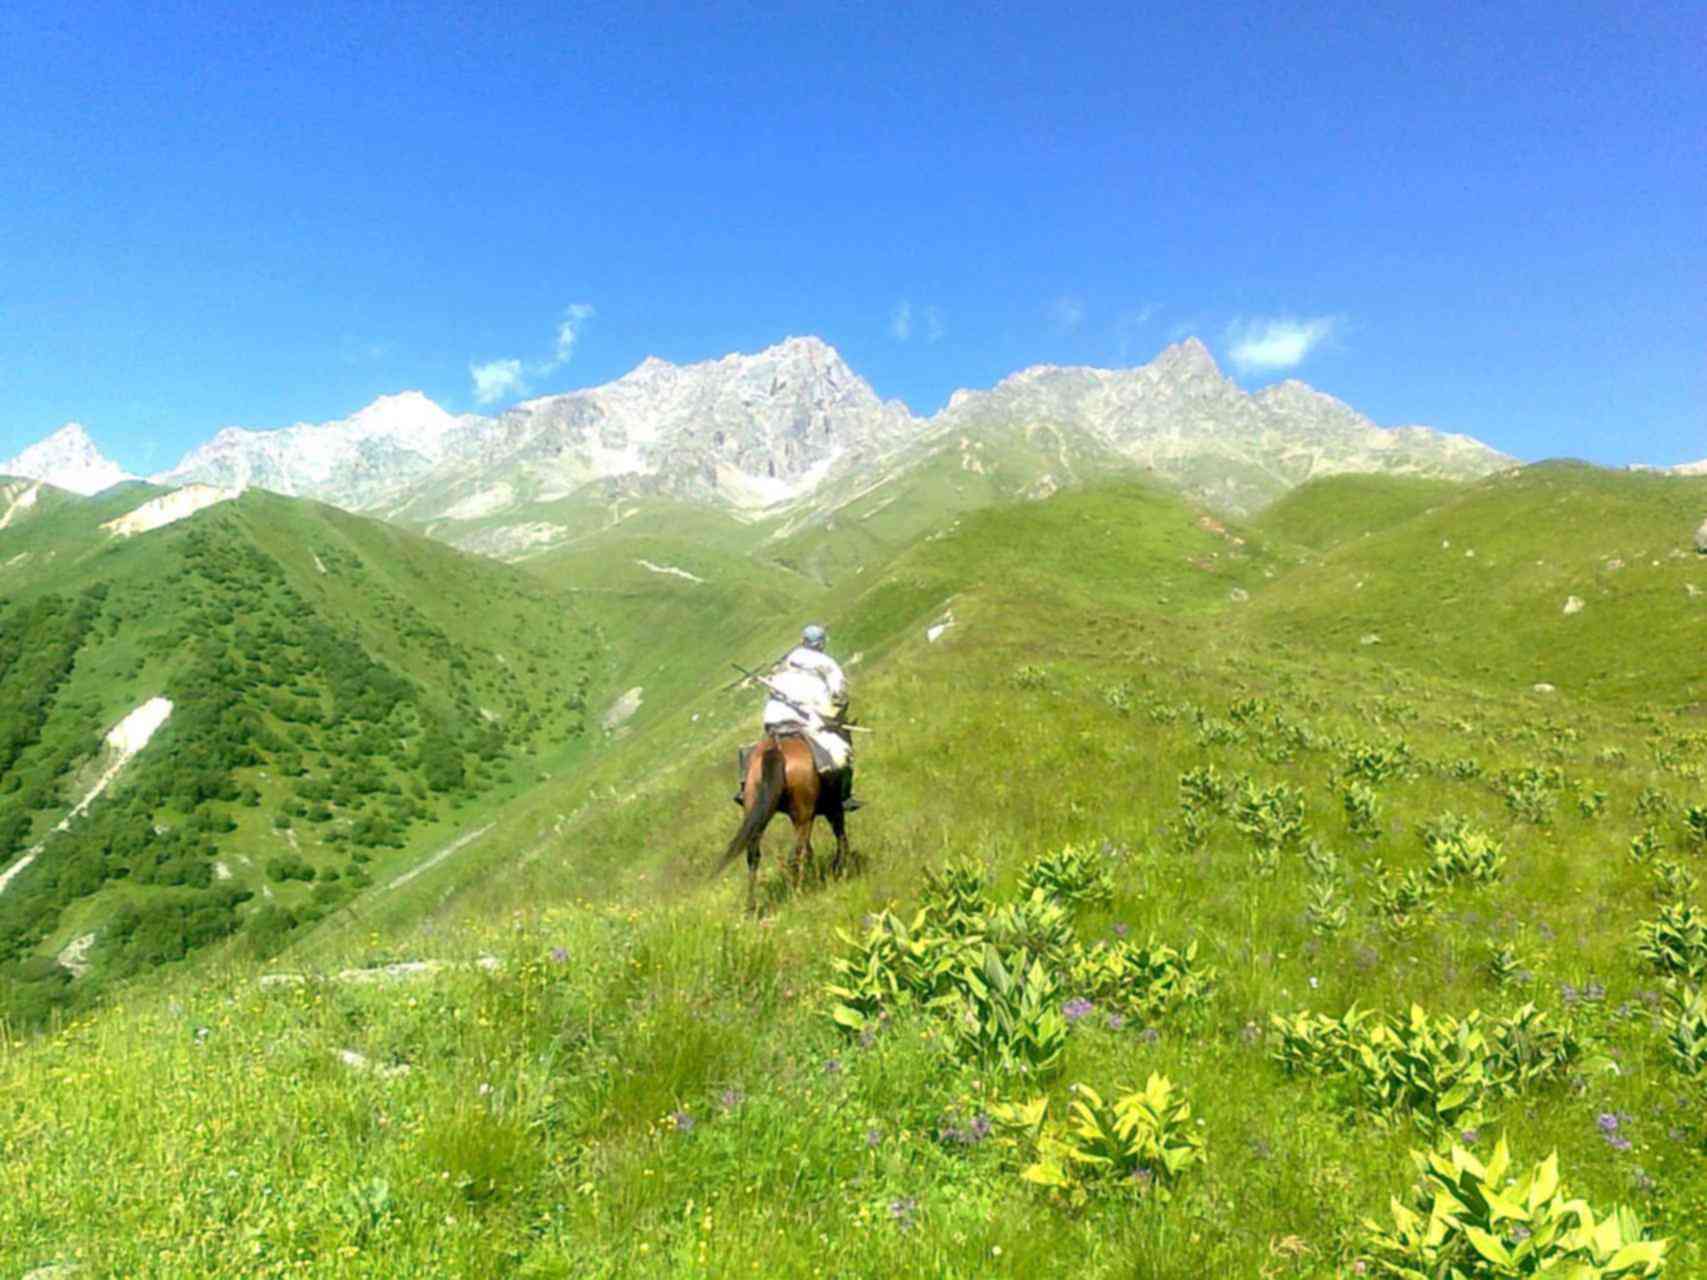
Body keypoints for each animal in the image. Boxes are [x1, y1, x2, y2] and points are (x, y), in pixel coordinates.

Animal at [716, 730, 850, 914]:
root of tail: (776, 750)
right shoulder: (832, 808)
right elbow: (840, 835)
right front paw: (841, 867)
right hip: (806, 816)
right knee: (795, 855)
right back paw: (798, 892)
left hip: (758, 813)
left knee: (753, 857)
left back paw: (751, 907)